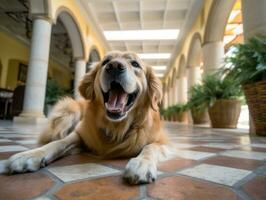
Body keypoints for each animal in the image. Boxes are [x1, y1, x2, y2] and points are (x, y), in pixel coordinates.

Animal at [1, 50, 174, 184]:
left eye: (135, 64)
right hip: (70, 111)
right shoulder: (79, 135)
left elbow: (150, 147)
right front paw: (30, 155)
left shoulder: (163, 141)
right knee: (56, 135)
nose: (114, 66)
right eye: (106, 61)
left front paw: (141, 163)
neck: (116, 127)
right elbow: (59, 143)